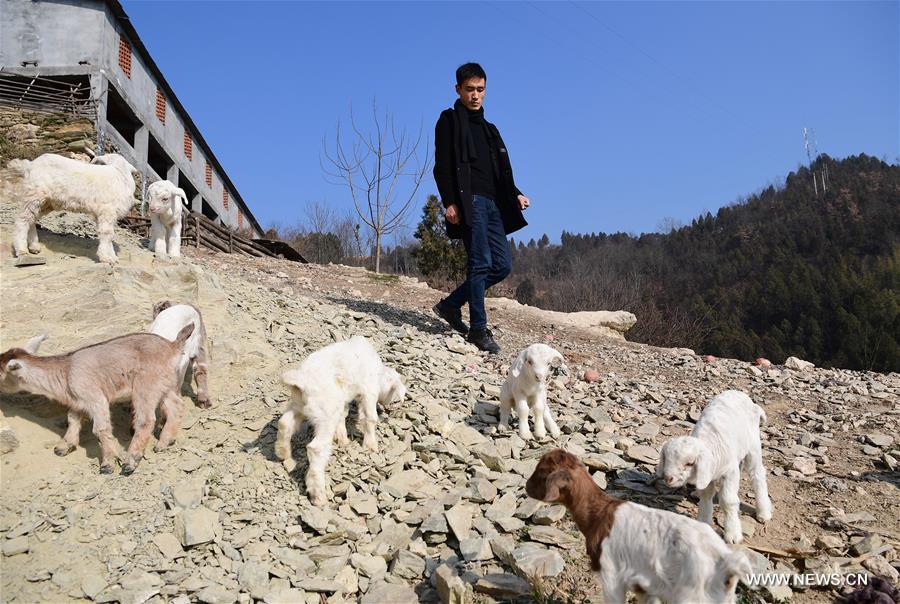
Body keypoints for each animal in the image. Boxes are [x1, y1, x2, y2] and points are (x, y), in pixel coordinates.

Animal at [0, 326, 193, 476]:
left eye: (0, 373)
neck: (66, 371)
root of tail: (172, 346)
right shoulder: (79, 401)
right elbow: (72, 419)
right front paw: (63, 447)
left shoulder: (95, 398)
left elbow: (100, 429)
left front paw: (107, 465)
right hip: (164, 385)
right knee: (176, 406)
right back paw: (164, 443)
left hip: (146, 386)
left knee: (146, 420)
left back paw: (130, 462)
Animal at [8, 153, 139, 262]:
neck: (120, 174)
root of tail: (30, 165)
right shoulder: (107, 210)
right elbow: (107, 233)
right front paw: (107, 258)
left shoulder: (103, 214)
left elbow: (107, 234)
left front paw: (112, 256)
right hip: (35, 195)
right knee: (22, 219)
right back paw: (22, 251)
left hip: (47, 202)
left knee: (31, 219)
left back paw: (34, 246)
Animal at [270, 338, 404, 508]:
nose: (394, 408)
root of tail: (301, 382)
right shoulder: (369, 390)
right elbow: (370, 417)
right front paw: (371, 446)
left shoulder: (342, 398)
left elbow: (343, 415)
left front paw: (342, 440)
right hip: (324, 415)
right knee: (316, 449)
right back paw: (318, 495)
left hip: (298, 404)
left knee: (284, 423)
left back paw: (283, 453)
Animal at [524, 448, 748, 604]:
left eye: (542, 471)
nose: (526, 486)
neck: (598, 513)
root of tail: (726, 561)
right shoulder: (645, 586)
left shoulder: (611, 574)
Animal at [652, 390, 772, 544]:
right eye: (666, 458)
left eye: (689, 463)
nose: (668, 478)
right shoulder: (707, 474)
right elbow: (706, 496)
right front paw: (704, 523)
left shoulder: (730, 472)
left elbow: (728, 500)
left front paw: (733, 535)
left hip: (753, 447)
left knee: (757, 475)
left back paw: (763, 512)